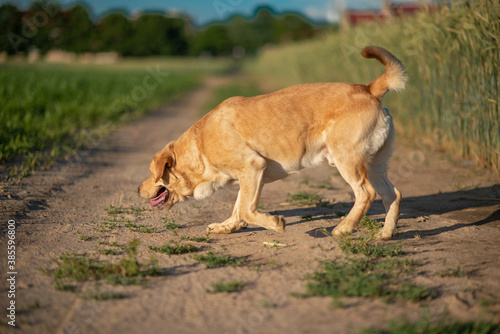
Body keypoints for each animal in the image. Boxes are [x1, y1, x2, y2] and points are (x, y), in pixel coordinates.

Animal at [138, 46, 406, 240]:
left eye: (151, 173)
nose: (137, 189)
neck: (199, 145)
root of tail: (368, 88)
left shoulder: (252, 166)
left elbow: (247, 210)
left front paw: (275, 224)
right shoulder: (249, 176)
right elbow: (239, 208)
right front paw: (225, 227)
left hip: (347, 160)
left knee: (366, 193)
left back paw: (344, 228)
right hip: (374, 164)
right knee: (392, 194)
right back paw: (385, 233)